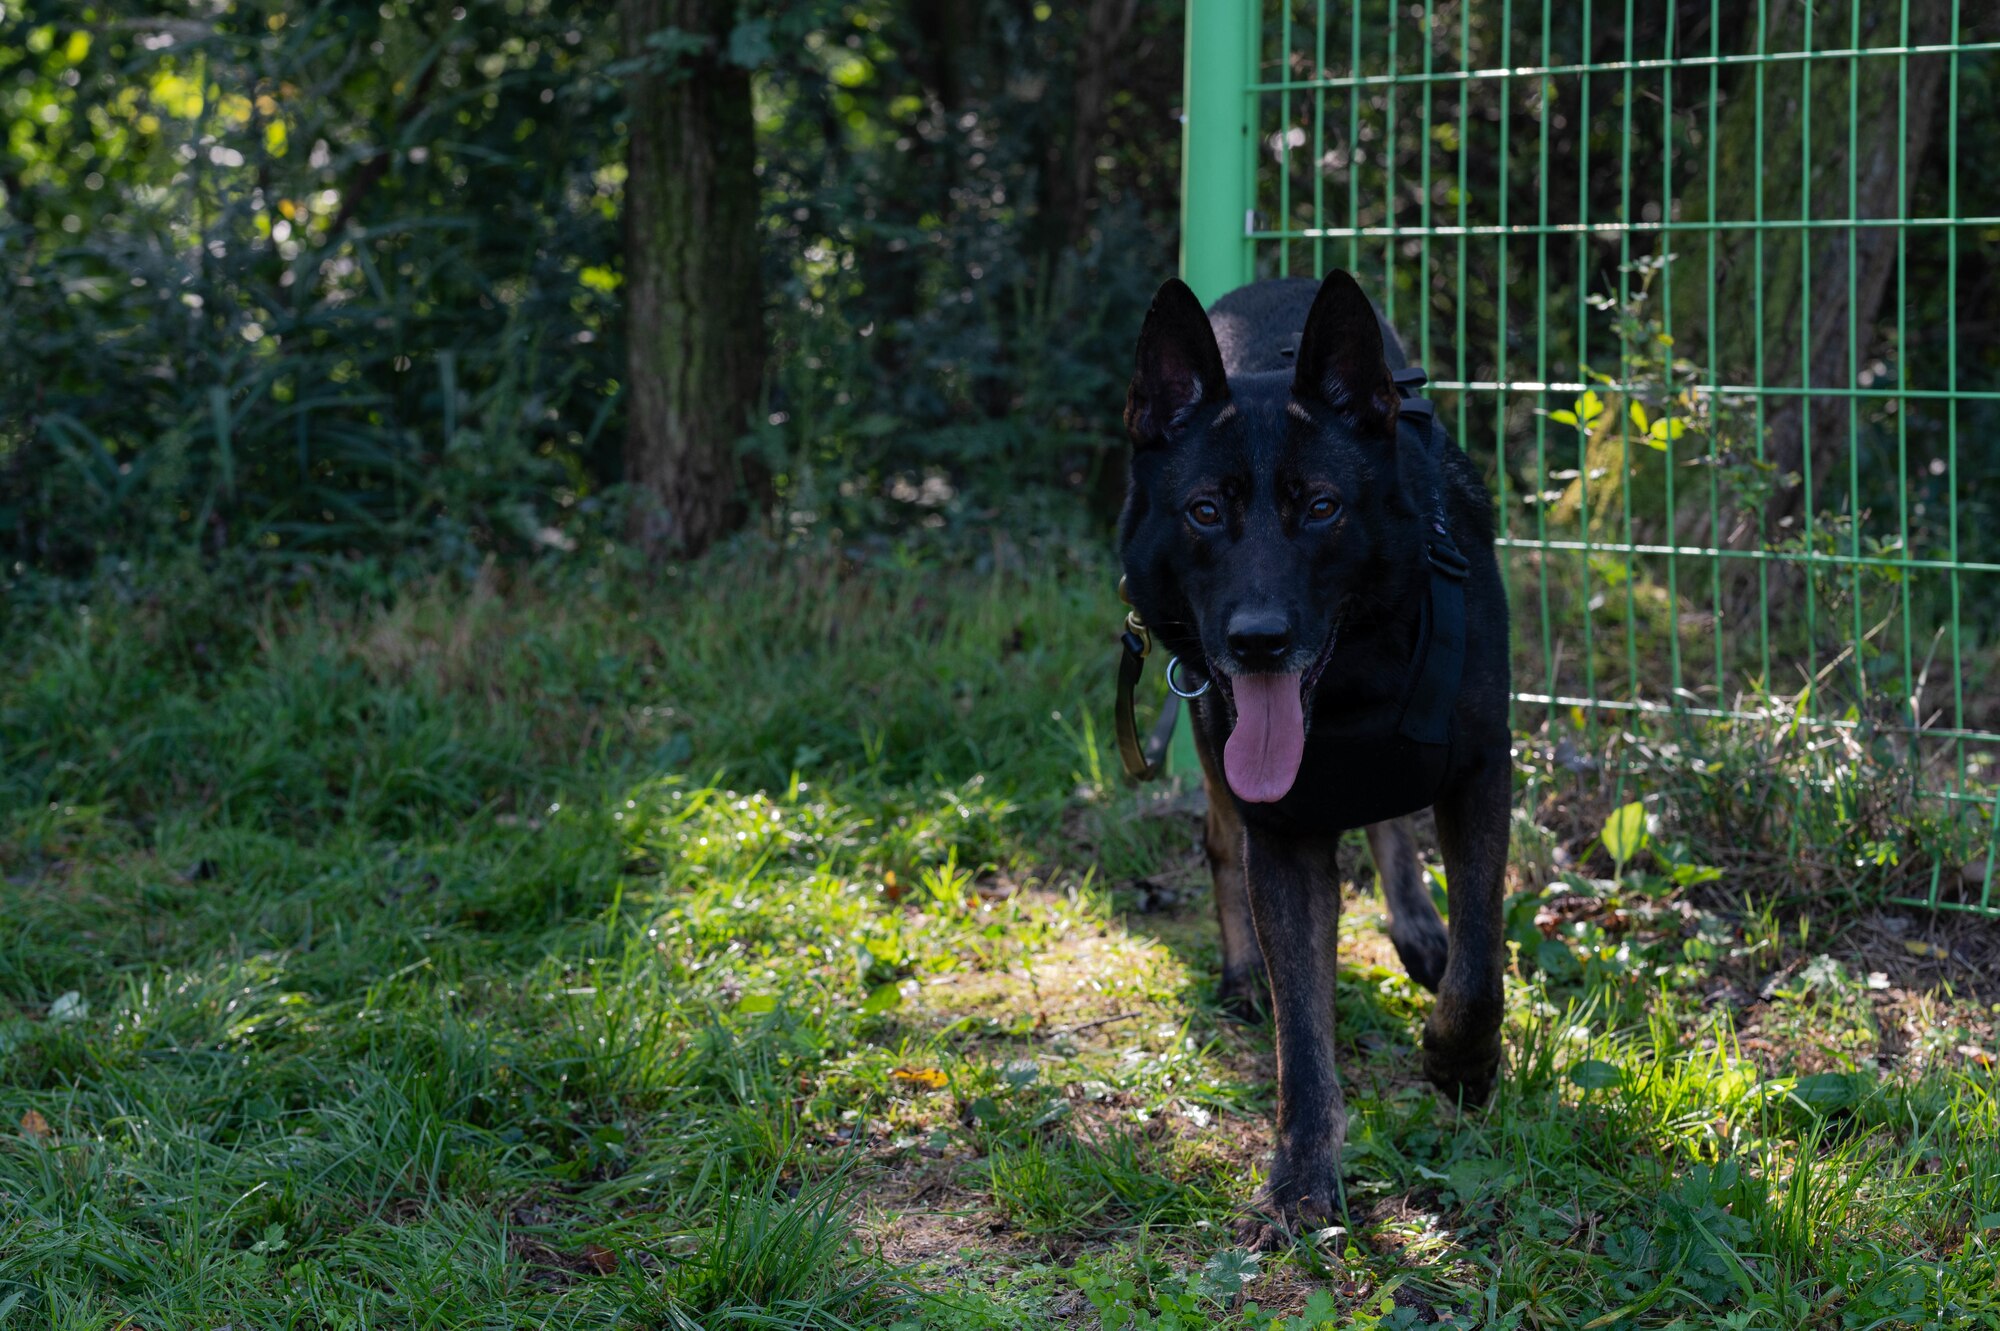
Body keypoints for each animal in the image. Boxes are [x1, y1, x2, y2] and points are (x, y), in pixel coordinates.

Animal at [1120, 271, 1504, 1247]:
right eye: (1204, 511)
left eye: (1323, 507)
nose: (1259, 640)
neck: (1355, 680)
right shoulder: (1284, 833)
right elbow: (1302, 1034)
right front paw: (1301, 1177)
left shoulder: (1482, 772)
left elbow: (1481, 962)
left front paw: (1460, 1062)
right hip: (1203, 712)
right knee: (1222, 843)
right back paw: (1241, 972)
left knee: (1394, 827)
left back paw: (1418, 928)